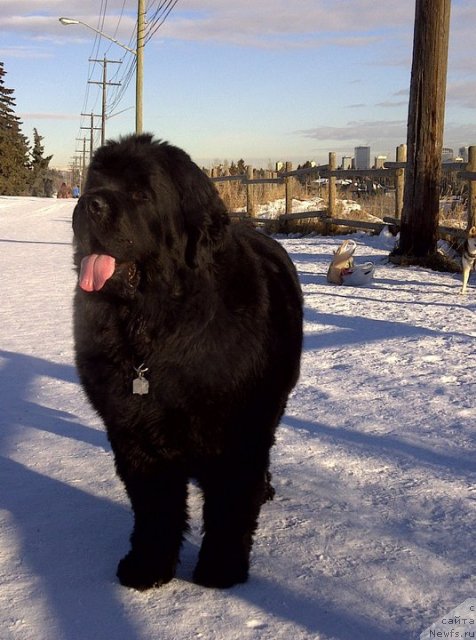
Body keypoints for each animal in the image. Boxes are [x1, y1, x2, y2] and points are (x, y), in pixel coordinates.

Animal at [72, 134, 304, 592]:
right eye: (94, 182)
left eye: (140, 193)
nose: (89, 203)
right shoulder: (134, 433)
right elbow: (155, 507)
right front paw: (147, 566)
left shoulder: (240, 434)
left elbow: (230, 502)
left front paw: (221, 568)